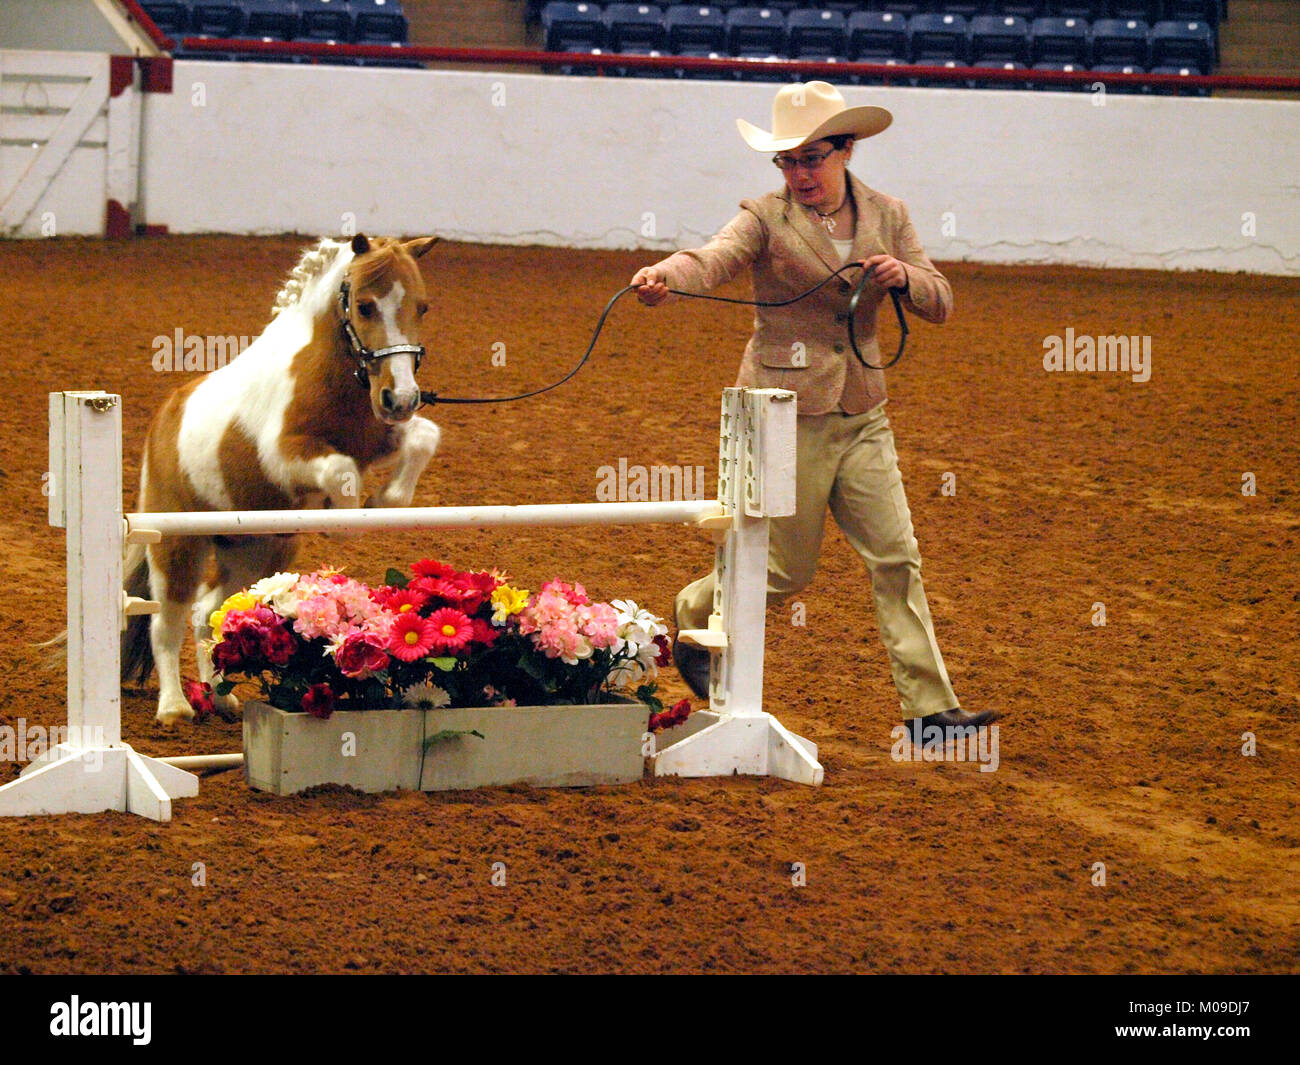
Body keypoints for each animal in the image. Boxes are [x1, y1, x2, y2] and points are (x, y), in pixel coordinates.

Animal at [124, 232, 444, 723]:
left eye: (422, 307)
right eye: (365, 306)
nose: (402, 397)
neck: (325, 375)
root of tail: (165, 418)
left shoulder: (381, 436)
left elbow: (424, 437)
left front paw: (382, 502)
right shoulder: (283, 456)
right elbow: (340, 470)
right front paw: (342, 518)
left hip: (256, 549)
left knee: (207, 613)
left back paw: (222, 699)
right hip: (178, 544)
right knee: (166, 620)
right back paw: (175, 708)